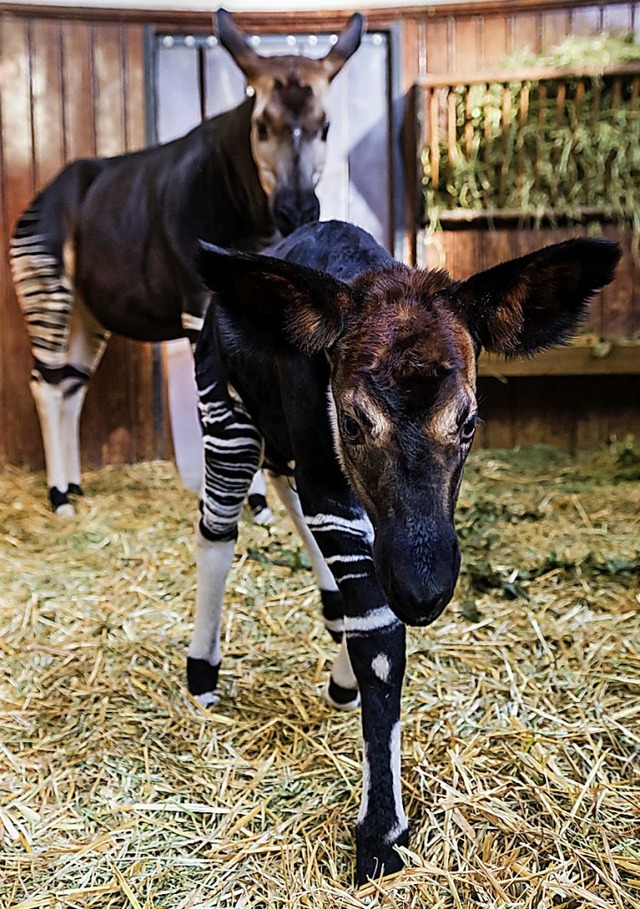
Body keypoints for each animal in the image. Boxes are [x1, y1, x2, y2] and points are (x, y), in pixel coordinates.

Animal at [190, 220, 620, 880]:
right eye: (353, 423)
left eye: (468, 423)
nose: (425, 591)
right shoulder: (331, 482)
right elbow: (380, 640)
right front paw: (380, 833)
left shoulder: (348, 499)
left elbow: (368, 607)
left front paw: (345, 679)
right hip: (225, 412)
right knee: (219, 524)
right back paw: (202, 673)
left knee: (282, 495)